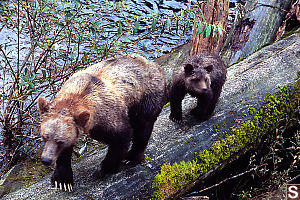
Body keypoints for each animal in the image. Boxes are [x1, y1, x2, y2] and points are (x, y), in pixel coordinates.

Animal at [37, 54, 166, 191]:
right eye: (44, 137)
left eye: (60, 141)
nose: (46, 160)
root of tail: (153, 64)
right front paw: (63, 180)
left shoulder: (109, 115)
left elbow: (121, 136)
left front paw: (107, 167)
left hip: (147, 98)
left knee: (143, 128)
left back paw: (131, 157)